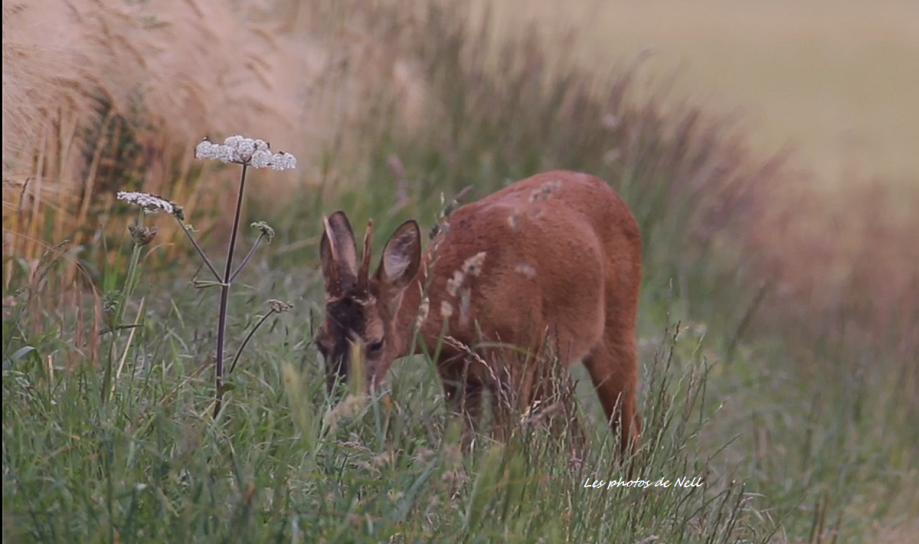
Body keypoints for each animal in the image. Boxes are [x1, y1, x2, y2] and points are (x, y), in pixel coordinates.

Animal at [316, 170, 640, 454]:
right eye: (320, 342)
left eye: (376, 343)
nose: (341, 403)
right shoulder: (455, 373)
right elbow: (462, 442)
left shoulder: (514, 365)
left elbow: (502, 444)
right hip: (549, 365)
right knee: (576, 432)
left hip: (617, 328)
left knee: (630, 431)